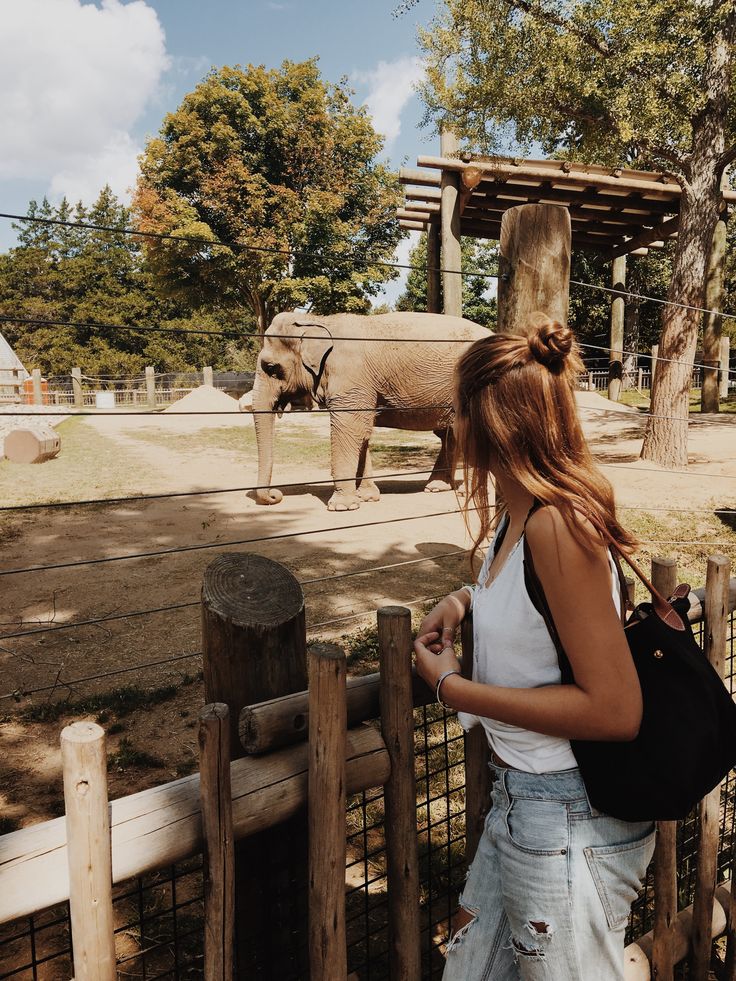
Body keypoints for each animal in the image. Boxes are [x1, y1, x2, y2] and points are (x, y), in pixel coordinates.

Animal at [244, 312, 492, 512]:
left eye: (271, 368)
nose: (276, 495)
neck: (318, 320)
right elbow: (361, 432)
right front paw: (367, 498)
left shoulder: (349, 376)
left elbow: (348, 429)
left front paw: (341, 507)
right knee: (449, 435)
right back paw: (436, 488)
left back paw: (466, 493)